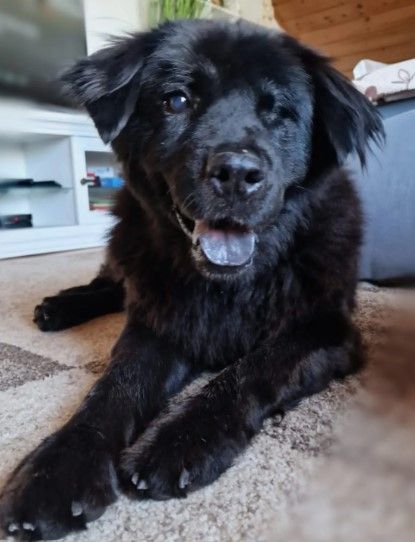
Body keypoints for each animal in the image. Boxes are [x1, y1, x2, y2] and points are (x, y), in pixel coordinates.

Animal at [0, 19, 383, 540]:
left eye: (279, 113)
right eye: (177, 100)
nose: (237, 172)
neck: (230, 286)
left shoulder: (325, 329)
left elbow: (252, 369)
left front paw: (180, 440)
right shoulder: (157, 323)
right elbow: (115, 387)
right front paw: (58, 468)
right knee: (110, 283)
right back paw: (58, 307)